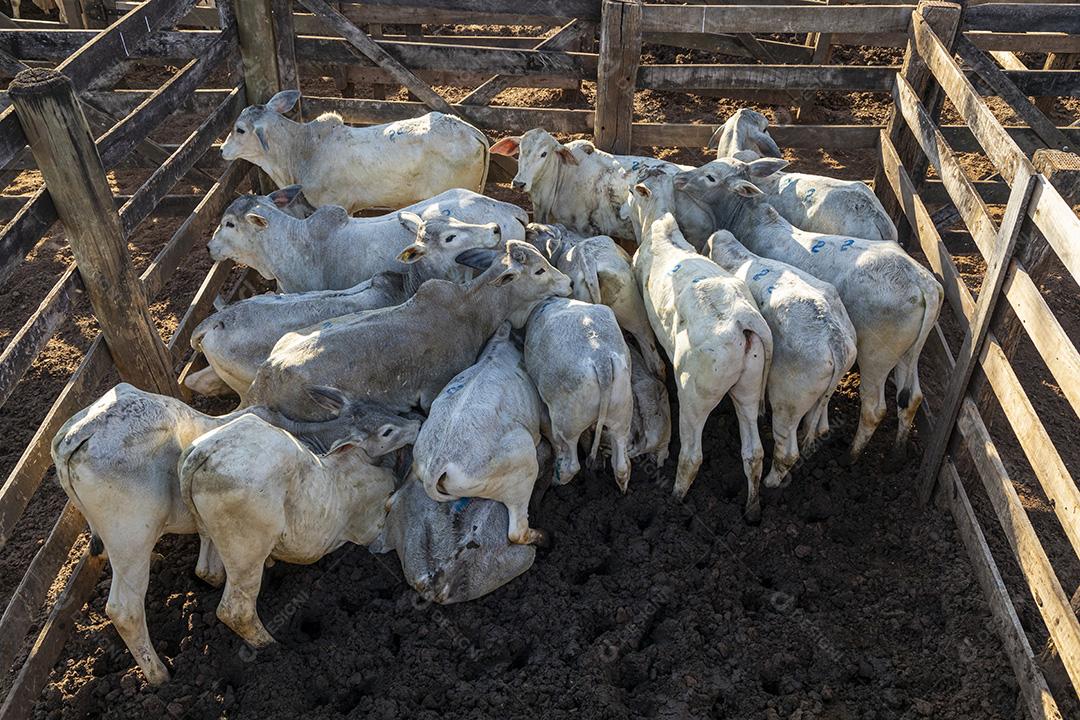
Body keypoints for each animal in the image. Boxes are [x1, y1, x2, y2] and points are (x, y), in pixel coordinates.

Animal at [523, 297, 634, 491]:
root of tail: (601, 358)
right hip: (623, 413)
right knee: (621, 463)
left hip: (566, 424)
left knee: (572, 464)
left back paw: (557, 480)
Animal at [626, 169, 773, 521]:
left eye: (632, 191)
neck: (660, 233)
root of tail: (744, 321)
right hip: (749, 386)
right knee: (754, 452)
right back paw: (752, 508)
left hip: (695, 394)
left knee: (692, 455)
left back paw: (676, 498)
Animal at [674, 157, 943, 460]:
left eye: (710, 177)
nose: (680, 179)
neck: (754, 222)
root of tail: (923, 282)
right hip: (908, 355)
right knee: (912, 398)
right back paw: (898, 450)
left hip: (876, 357)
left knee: (874, 409)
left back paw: (853, 454)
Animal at [706, 230, 858, 487]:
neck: (740, 259)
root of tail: (835, 340)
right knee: (819, 426)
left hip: (788, 399)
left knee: (787, 450)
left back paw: (771, 482)